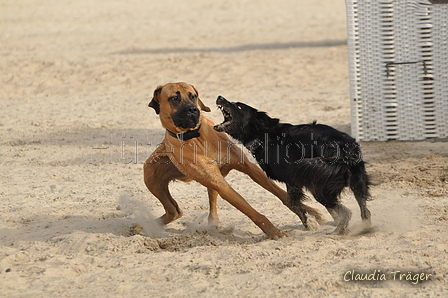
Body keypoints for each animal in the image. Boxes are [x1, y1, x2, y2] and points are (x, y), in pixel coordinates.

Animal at [144, 82, 322, 240]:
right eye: (174, 98)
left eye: (192, 96)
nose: (193, 109)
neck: (196, 137)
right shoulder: (221, 184)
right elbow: (251, 211)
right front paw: (274, 232)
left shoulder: (248, 167)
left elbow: (281, 193)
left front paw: (309, 213)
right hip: (151, 178)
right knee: (174, 211)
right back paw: (144, 225)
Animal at [214, 95, 372, 235]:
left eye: (239, 106)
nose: (219, 97)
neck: (264, 136)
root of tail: (343, 149)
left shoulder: (292, 180)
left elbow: (291, 203)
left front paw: (310, 223)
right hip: (356, 182)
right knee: (364, 210)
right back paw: (363, 228)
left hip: (319, 186)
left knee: (346, 211)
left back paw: (338, 231)